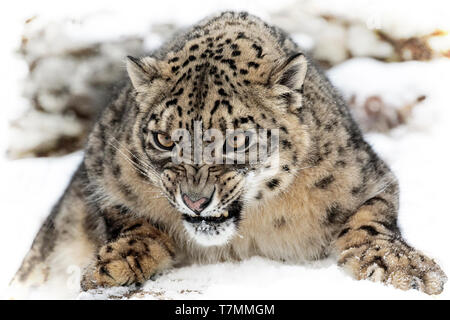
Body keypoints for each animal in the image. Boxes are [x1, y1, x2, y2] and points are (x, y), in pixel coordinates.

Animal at [11, 11, 446, 296]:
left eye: (234, 141)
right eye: (164, 139)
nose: (195, 200)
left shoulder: (368, 177)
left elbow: (372, 220)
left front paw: (405, 267)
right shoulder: (105, 169)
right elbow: (129, 217)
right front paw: (117, 264)